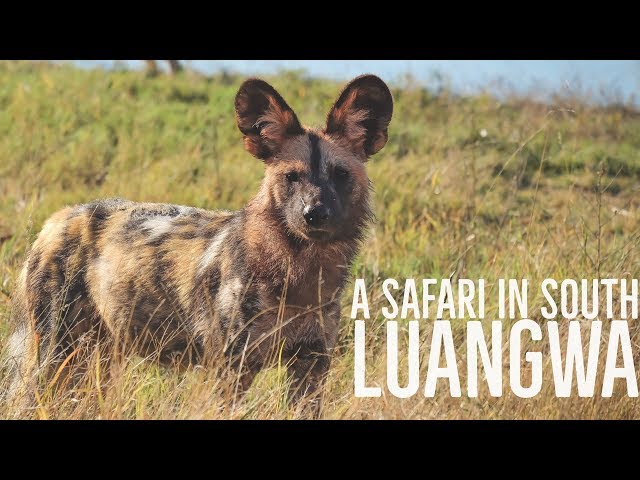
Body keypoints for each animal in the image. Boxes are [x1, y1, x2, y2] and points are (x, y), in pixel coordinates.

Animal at [7, 75, 392, 412]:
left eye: (340, 175)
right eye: (291, 177)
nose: (315, 214)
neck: (300, 276)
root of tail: (57, 219)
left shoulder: (310, 368)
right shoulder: (230, 369)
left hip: (97, 359)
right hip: (54, 355)